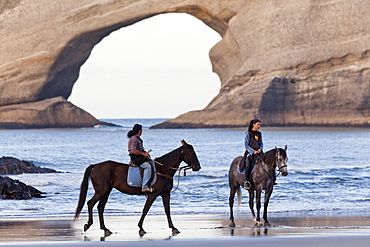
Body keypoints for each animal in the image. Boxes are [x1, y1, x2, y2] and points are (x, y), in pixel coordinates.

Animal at [73, 140, 201, 236]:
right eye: (192, 152)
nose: (198, 167)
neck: (162, 170)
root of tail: (96, 166)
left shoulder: (166, 194)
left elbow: (167, 210)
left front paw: (173, 227)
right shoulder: (153, 194)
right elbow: (145, 209)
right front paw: (140, 228)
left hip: (106, 192)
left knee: (100, 207)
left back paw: (105, 229)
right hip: (101, 191)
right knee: (90, 203)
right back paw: (88, 224)